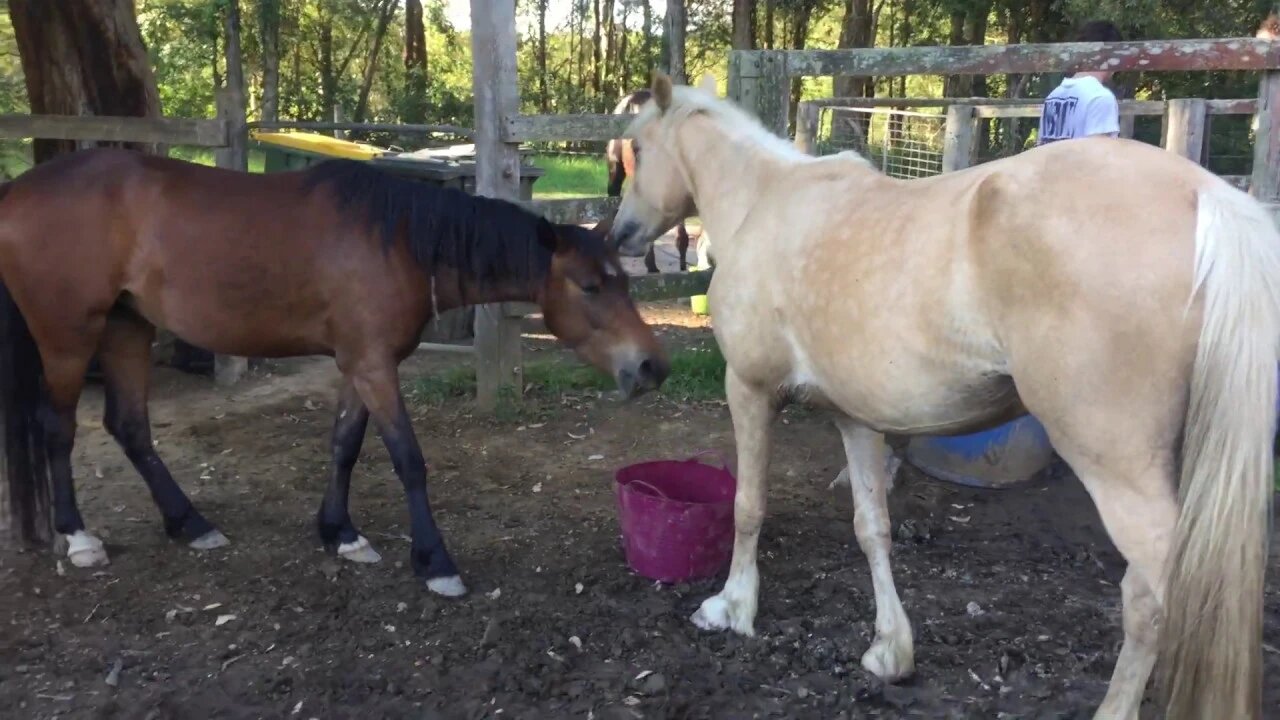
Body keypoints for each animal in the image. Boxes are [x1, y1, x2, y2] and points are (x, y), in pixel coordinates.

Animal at [2, 146, 670, 594]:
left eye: (622, 280)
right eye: (590, 286)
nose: (651, 366)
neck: (398, 242)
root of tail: (18, 192)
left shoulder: (360, 364)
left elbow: (344, 446)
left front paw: (340, 533)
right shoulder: (374, 368)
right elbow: (408, 460)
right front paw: (435, 562)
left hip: (126, 327)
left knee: (130, 427)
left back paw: (189, 523)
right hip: (69, 337)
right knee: (58, 429)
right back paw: (79, 537)